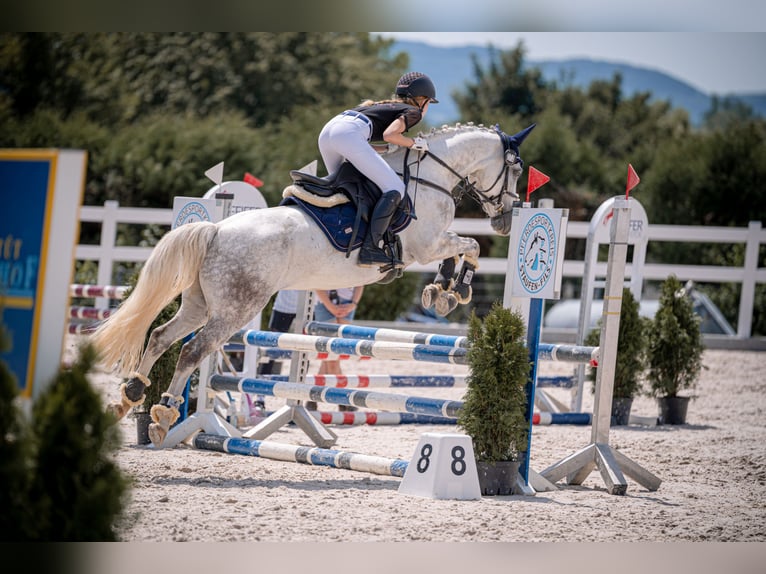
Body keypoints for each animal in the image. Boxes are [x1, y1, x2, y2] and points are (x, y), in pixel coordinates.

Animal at [92, 121, 535, 447]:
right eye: (515, 168)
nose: (505, 219)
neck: (430, 177)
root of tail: (216, 229)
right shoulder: (425, 245)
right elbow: (469, 246)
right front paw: (454, 291)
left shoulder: (430, 246)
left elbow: (459, 251)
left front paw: (440, 293)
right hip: (236, 308)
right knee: (192, 350)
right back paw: (163, 415)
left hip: (201, 304)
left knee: (161, 336)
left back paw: (131, 396)